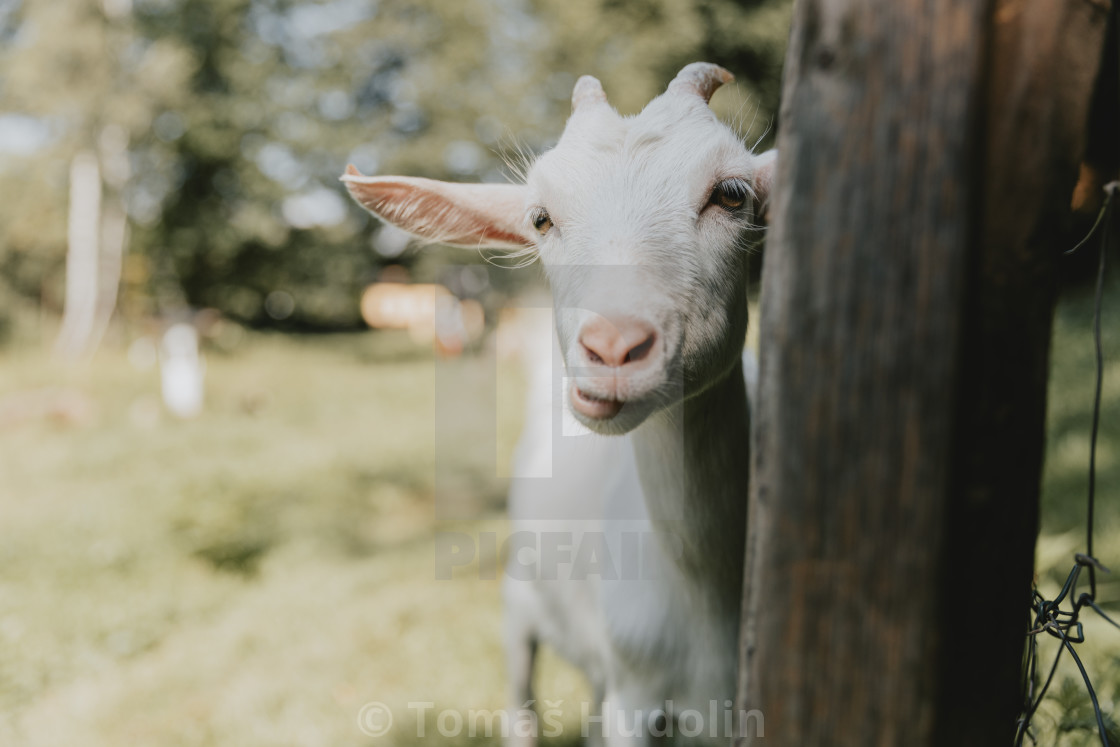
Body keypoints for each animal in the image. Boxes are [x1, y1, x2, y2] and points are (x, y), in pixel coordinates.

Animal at [344, 62, 775, 743]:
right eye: (541, 219)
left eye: (731, 195)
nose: (613, 348)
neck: (708, 586)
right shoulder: (634, 700)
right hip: (519, 600)